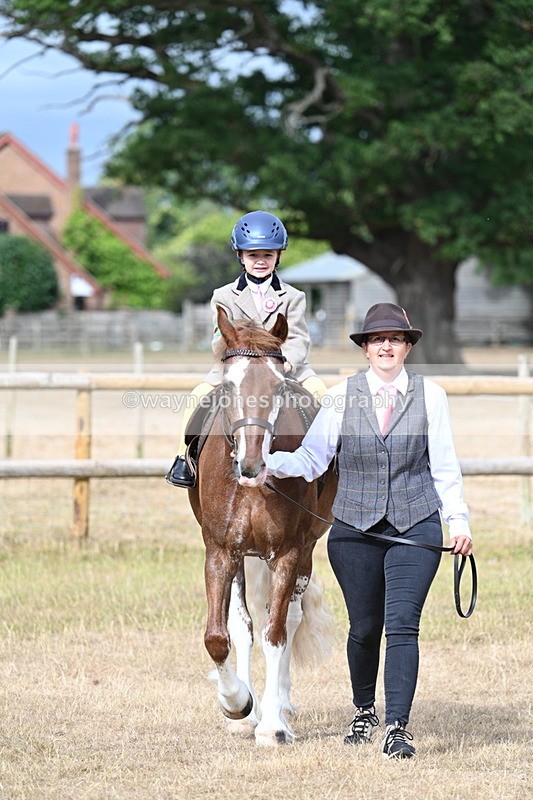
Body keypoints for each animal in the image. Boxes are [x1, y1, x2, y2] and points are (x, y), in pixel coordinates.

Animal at [187, 305, 338, 746]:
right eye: (229, 384)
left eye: (278, 385)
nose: (251, 466)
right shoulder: (221, 553)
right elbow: (221, 636)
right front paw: (237, 704)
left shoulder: (287, 553)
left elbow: (276, 635)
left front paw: (272, 726)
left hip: (303, 553)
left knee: (288, 619)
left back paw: (280, 706)